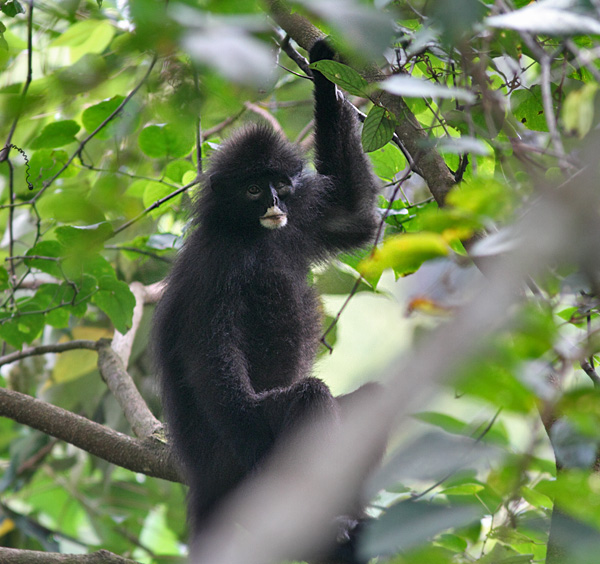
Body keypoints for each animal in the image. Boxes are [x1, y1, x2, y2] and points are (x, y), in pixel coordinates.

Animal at [152, 38, 382, 560]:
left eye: (279, 184)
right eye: (253, 188)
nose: (275, 204)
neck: (252, 238)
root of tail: (204, 482)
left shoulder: (301, 220)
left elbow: (353, 215)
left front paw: (323, 71)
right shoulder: (214, 271)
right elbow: (213, 366)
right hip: (236, 463)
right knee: (308, 398)